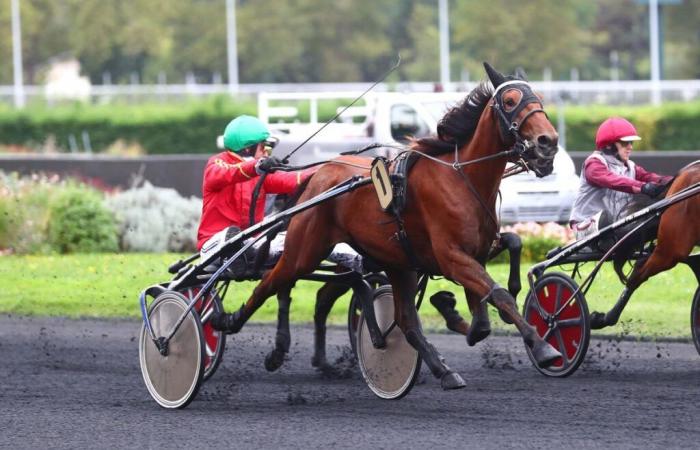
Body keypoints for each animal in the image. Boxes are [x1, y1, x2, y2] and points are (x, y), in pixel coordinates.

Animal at [213, 63, 564, 390]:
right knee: (271, 283)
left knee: (398, 318)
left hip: (394, 263)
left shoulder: (473, 252)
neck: (461, 177)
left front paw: (458, 311)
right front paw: (543, 347)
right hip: (306, 250)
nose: (548, 141)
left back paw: (442, 370)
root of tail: (318, 175)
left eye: (539, 97)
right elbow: (497, 294)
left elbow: (503, 267)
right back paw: (230, 321)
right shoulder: (452, 256)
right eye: (509, 100)